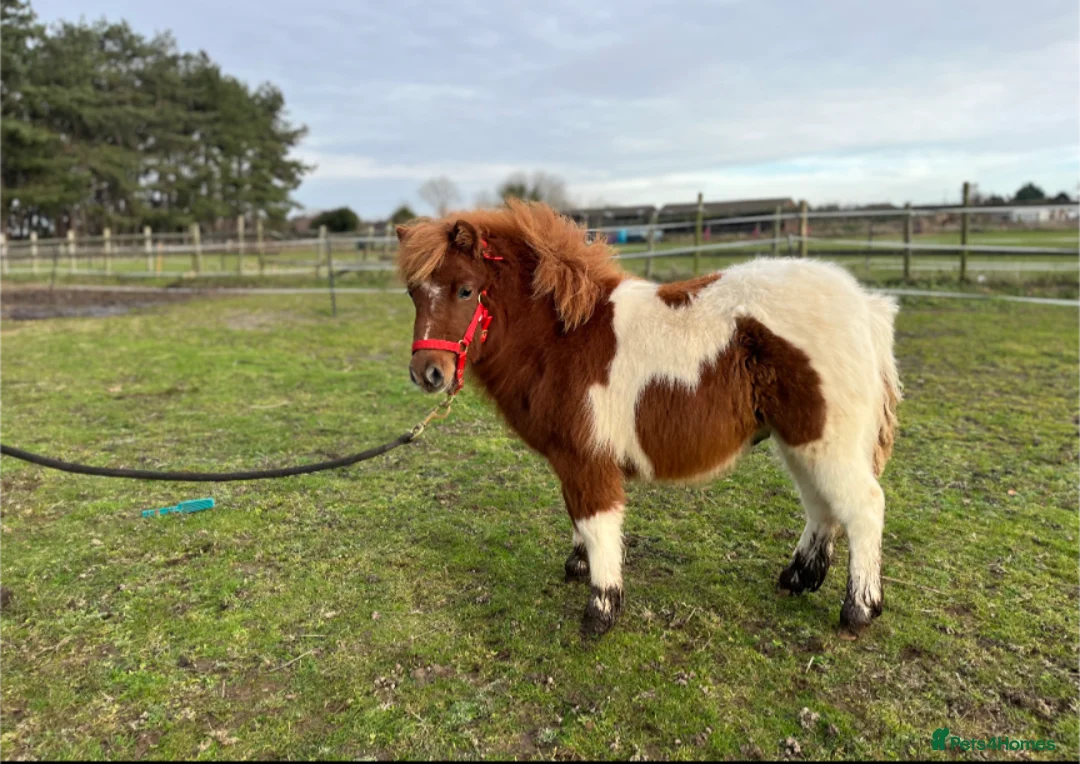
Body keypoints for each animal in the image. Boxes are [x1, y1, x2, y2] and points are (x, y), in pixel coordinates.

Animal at [397, 200, 901, 638]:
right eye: (413, 293)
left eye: (466, 289)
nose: (428, 374)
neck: (563, 338)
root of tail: (864, 305)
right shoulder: (571, 460)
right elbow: (577, 516)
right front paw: (578, 567)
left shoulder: (587, 457)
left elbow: (596, 521)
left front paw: (600, 610)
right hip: (799, 439)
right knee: (821, 505)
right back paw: (798, 578)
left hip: (824, 439)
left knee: (863, 506)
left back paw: (858, 609)